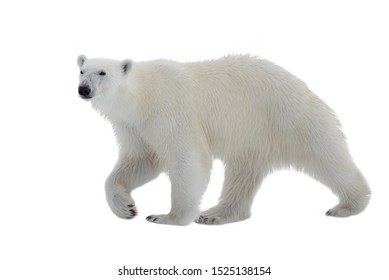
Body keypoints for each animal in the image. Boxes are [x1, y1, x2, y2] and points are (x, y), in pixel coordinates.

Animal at [76, 54, 370, 225]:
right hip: (254, 135)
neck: (143, 95)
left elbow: (187, 159)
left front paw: (168, 216)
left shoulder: (171, 110)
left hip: (288, 117)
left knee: (326, 156)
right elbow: (141, 160)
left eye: (102, 72)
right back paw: (216, 214)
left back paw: (348, 205)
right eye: (82, 70)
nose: (84, 89)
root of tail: (301, 84)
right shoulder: (133, 126)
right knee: (242, 173)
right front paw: (125, 207)